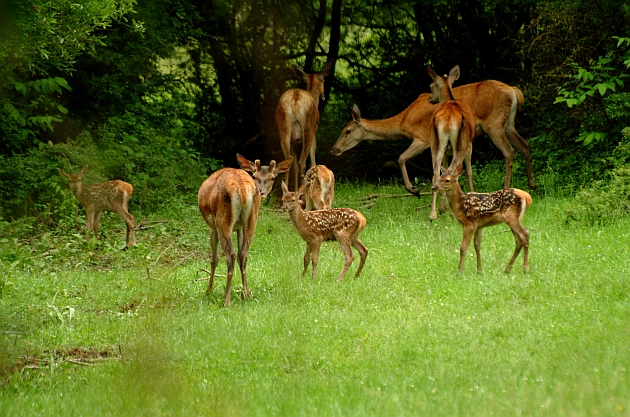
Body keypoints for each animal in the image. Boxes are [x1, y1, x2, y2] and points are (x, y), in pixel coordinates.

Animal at [198, 153, 294, 306]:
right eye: (255, 176)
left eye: (272, 177)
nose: (262, 192)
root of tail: (242, 189)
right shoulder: (240, 226)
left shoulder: (212, 227)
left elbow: (214, 258)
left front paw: (208, 291)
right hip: (252, 218)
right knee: (243, 254)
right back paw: (246, 295)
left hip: (222, 220)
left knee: (230, 255)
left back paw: (226, 300)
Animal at [276, 59, 336, 192]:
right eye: (324, 80)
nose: (323, 95)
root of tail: (296, 98)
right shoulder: (315, 131)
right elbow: (313, 161)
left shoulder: (294, 141)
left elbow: (294, 166)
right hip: (308, 129)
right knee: (302, 162)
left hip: (284, 131)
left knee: (287, 163)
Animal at [334, 73, 536, 197]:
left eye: (347, 131)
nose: (334, 149)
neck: (403, 123)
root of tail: (515, 92)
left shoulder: (422, 138)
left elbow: (401, 158)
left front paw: (414, 190)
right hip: (508, 124)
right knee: (525, 145)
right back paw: (532, 185)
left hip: (494, 124)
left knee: (509, 151)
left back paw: (506, 187)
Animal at [428, 64, 476, 221]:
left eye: (431, 86)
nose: (430, 98)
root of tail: (448, 118)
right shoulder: (470, 145)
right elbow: (469, 171)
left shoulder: (445, 152)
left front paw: (442, 207)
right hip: (461, 144)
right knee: (452, 169)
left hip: (435, 143)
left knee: (436, 172)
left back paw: (433, 214)